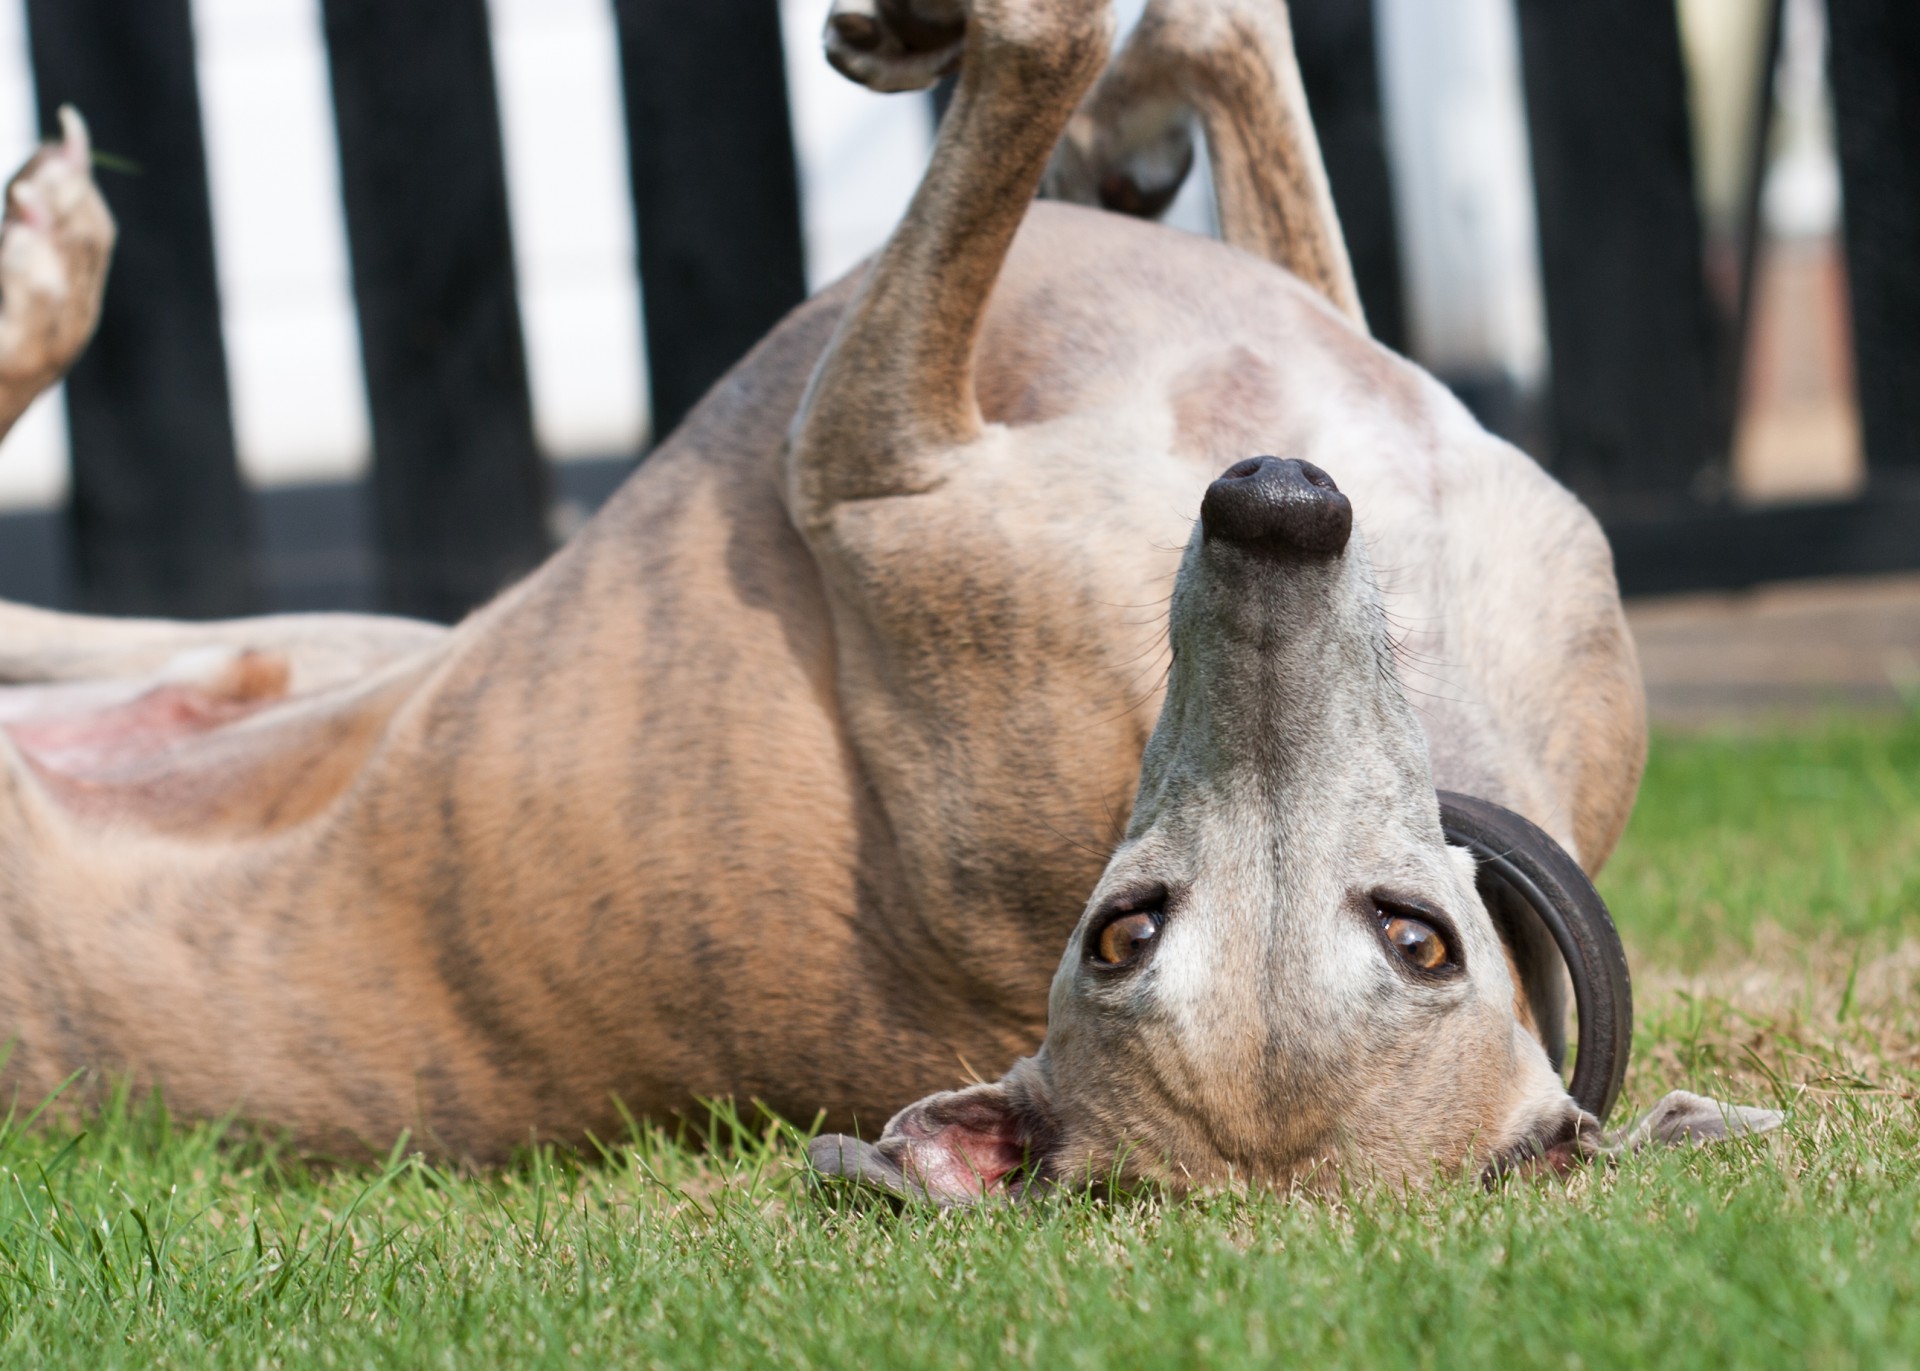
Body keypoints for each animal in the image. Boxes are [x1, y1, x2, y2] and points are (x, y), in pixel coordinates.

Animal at [0, 0, 1766, 1182]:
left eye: (1412, 942)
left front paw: (1036, 64)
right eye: (1129, 926)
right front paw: (1112, 116)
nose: (1270, 518)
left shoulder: (863, 459)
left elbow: (1065, 47)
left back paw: (45, 268)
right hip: (285, 641)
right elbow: (1209, 81)